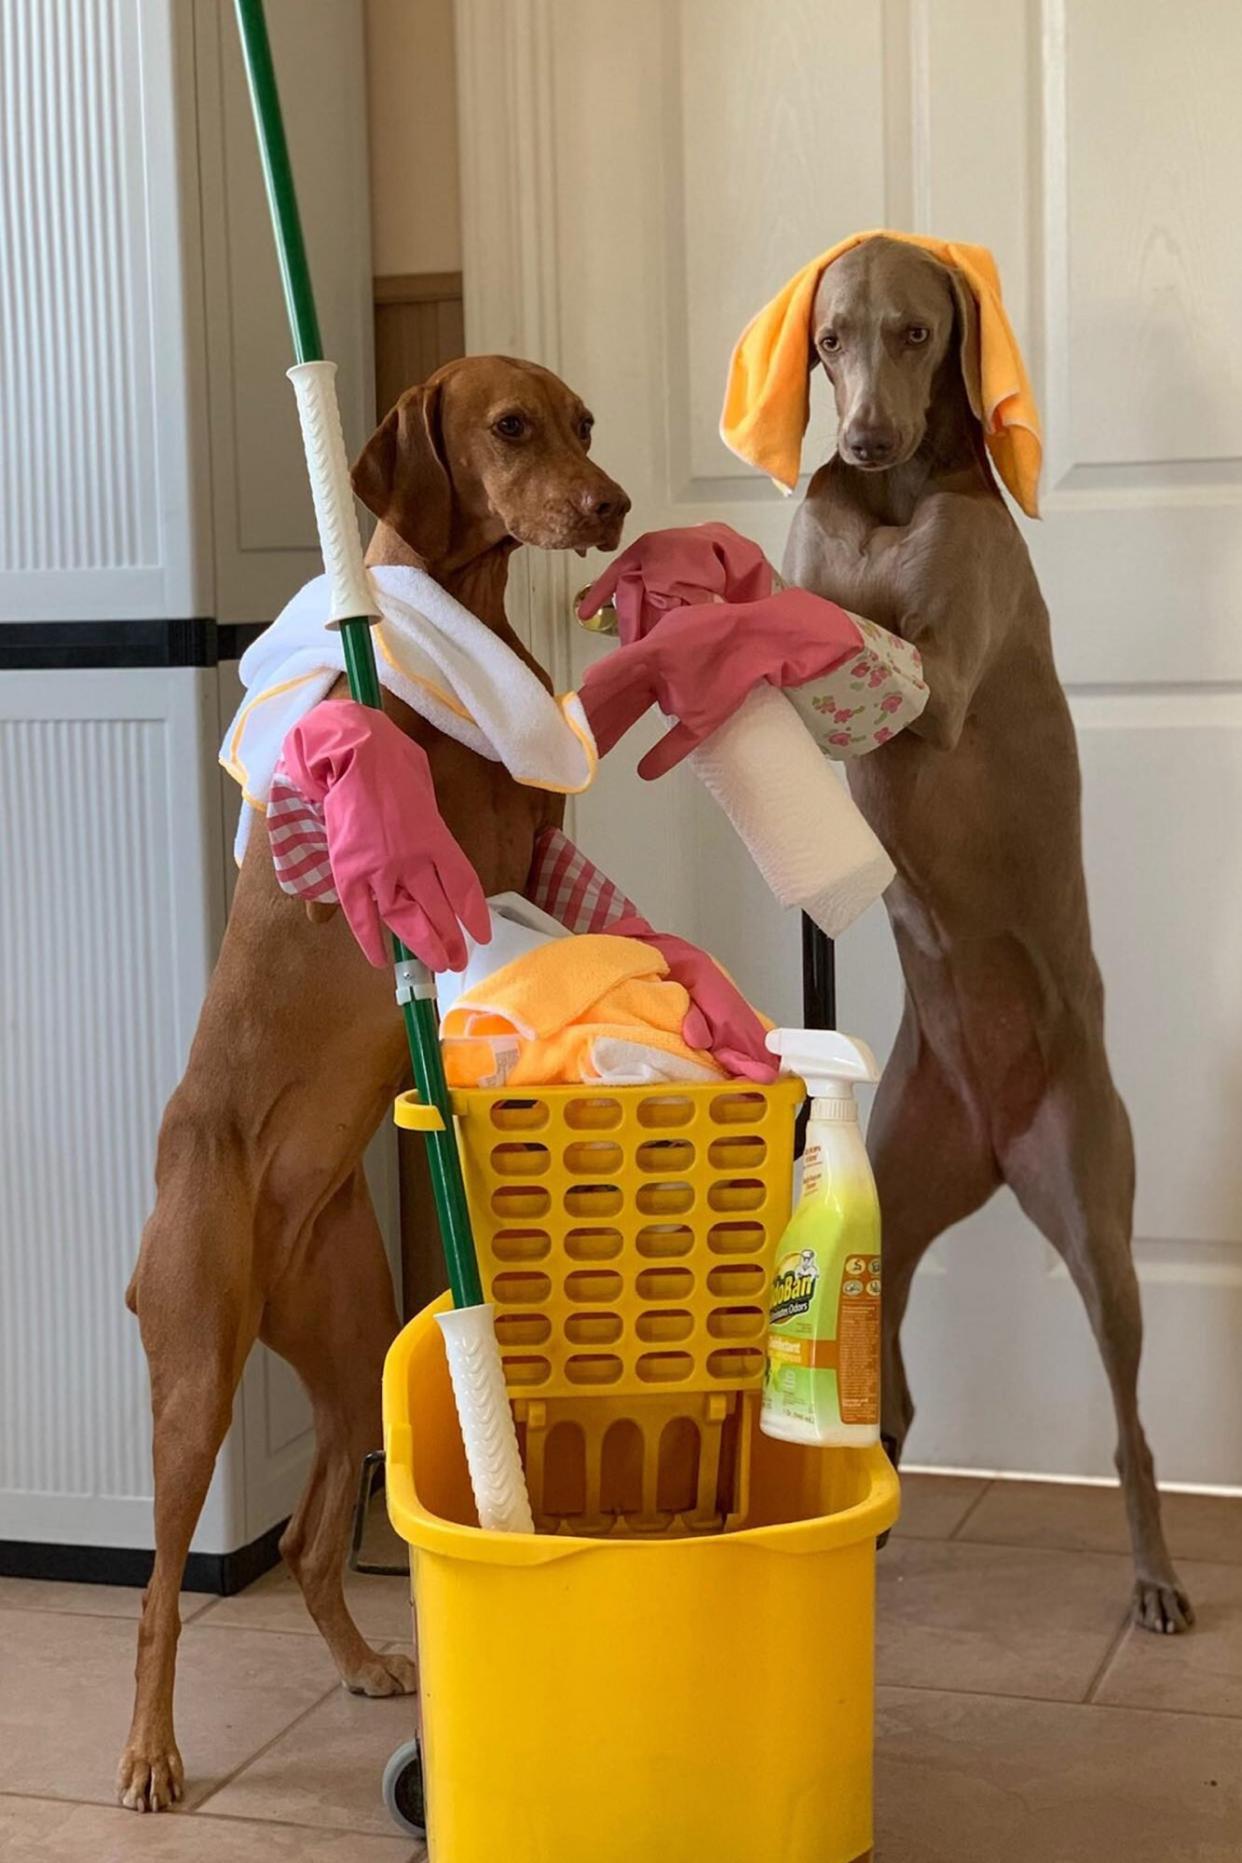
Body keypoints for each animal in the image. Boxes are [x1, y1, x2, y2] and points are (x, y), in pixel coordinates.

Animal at [119, 352, 633, 1803]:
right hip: (195, 1374)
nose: (614, 505)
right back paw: (151, 1751)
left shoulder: (540, 839)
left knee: (302, 1540)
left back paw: (359, 1660)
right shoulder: (448, 866)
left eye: (585, 423)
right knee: (162, 1591)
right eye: (510, 427)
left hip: (349, 1349)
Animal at [785, 232, 1191, 1631]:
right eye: (830, 340)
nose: (862, 436)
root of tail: (999, 1136)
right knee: (894, 1361)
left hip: (1096, 1217)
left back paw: (1156, 1575)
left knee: (1130, 1429)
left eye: (916, 333)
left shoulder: (940, 673)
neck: (900, 492)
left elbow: (869, 632)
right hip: (897, 1184)